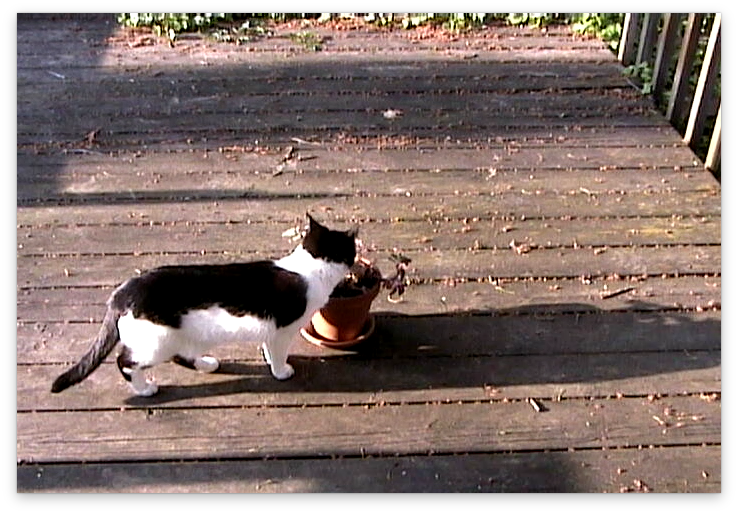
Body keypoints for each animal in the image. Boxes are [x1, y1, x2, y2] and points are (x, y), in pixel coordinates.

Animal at [50, 213, 356, 396]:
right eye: (352, 250)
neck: (309, 267)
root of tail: (123, 292)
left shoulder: (271, 331)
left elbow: (267, 347)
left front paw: (269, 361)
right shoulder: (283, 330)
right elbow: (279, 353)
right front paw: (281, 372)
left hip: (183, 335)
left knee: (180, 354)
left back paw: (206, 364)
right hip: (157, 342)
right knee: (125, 361)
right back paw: (144, 389)